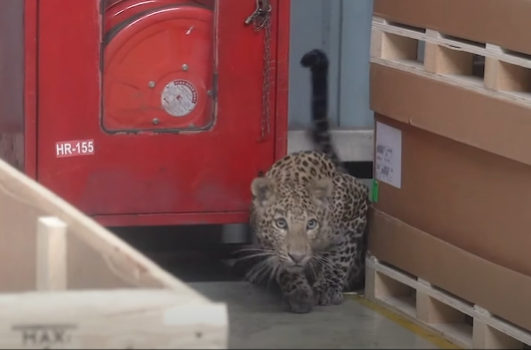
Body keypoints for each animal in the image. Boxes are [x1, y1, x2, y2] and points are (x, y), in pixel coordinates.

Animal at [245, 47, 370, 314]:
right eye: (281, 223)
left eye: (311, 224)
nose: (298, 256)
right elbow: (284, 265)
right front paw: (298, 292)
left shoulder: (357, 205)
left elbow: (340, 257)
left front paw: (328, 287)